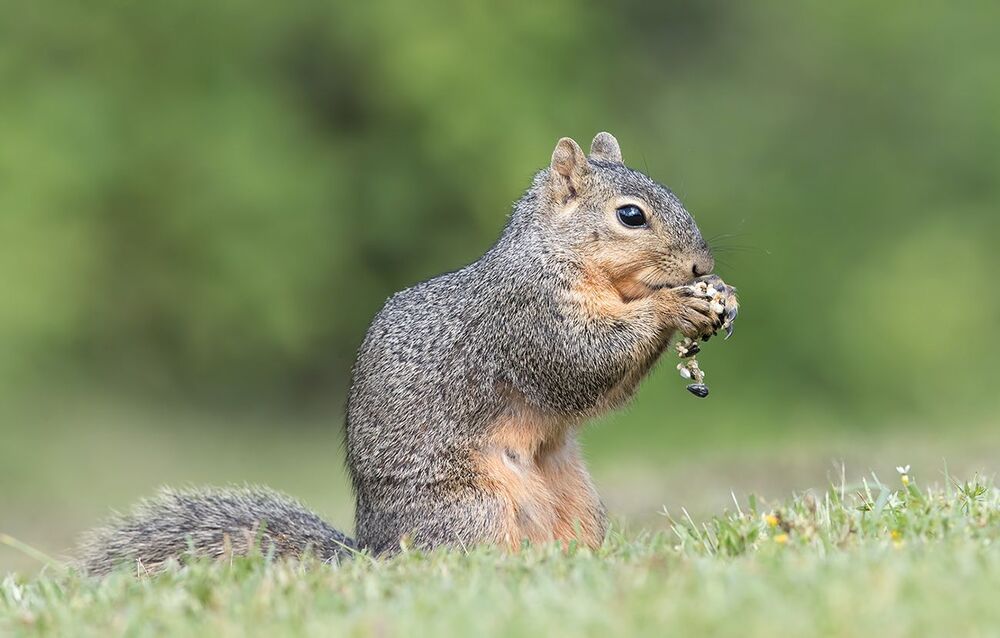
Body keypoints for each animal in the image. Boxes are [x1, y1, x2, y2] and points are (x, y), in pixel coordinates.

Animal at [79, 132, 736, 575]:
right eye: (630, 215)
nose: (702, 265)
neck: (558, 257)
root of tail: (376, 553)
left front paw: (713, 299)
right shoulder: (529, 319)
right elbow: (585, 362)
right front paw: (676, 306)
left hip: (577, 502)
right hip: (472, 508)